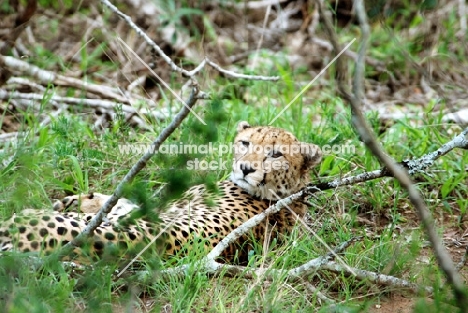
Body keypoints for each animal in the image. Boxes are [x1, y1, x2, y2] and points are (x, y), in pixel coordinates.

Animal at [0, 120, 322, 262]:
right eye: (245, 143)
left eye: (276, 154)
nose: (245, 169)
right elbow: (123, 201)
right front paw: (83, 198)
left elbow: (123, 206)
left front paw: (82, 201)